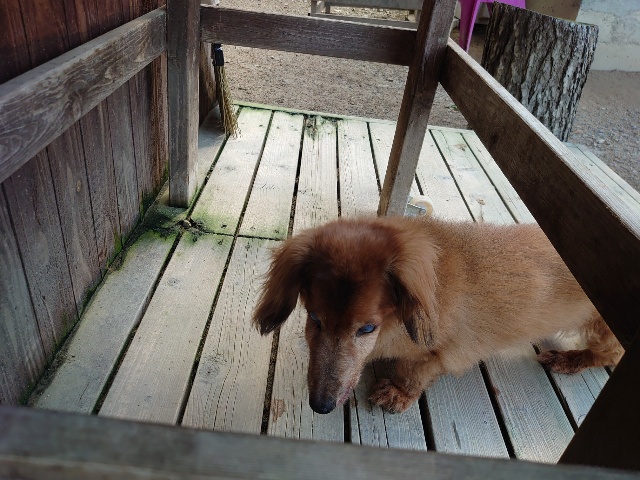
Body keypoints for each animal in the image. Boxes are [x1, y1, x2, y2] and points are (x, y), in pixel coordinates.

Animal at [252, 216, 623, 414]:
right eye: (314, 319)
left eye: (367, 328)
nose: (321, 405)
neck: (394, 326)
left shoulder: (447, 352)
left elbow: (417, 370)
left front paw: (399, 392)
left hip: (604, 330)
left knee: (610, 354)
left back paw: (571, 359)